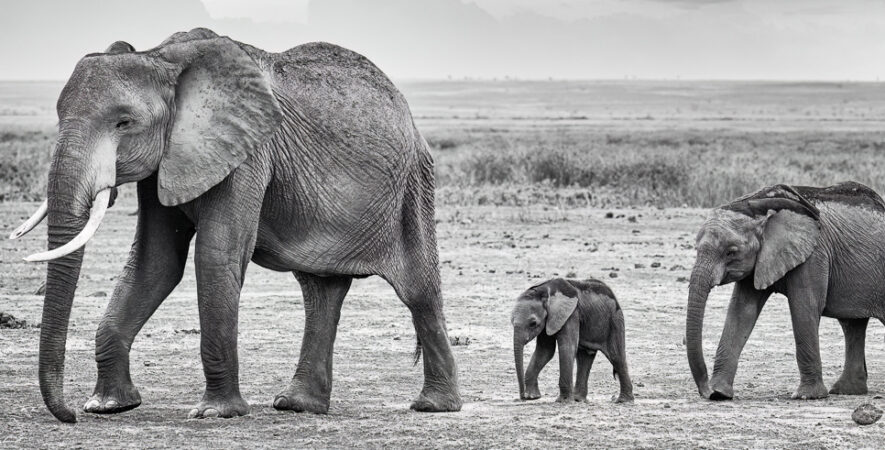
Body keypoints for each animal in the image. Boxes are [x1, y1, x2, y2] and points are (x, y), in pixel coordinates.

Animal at [10, 28, 460, 422]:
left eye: (123, 123)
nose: (69, 416)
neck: (161, 57)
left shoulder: (247, 152)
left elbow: (216, 255)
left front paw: (215, 413)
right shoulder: (166, 162)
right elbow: (155, 263)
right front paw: (108, 407)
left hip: (413, 185)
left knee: (419, 290)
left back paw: (433, 406)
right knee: (320, 291)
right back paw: (297, 405)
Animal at [688, 182, 884, 400]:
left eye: (731, 252)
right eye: (696, 248)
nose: (706, 391)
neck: (757, 206)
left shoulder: (814, 254)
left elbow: (804, 308)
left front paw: (807, 396)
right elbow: (742, 311)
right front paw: (721, 394)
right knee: (852, 325)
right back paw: (847, 391)